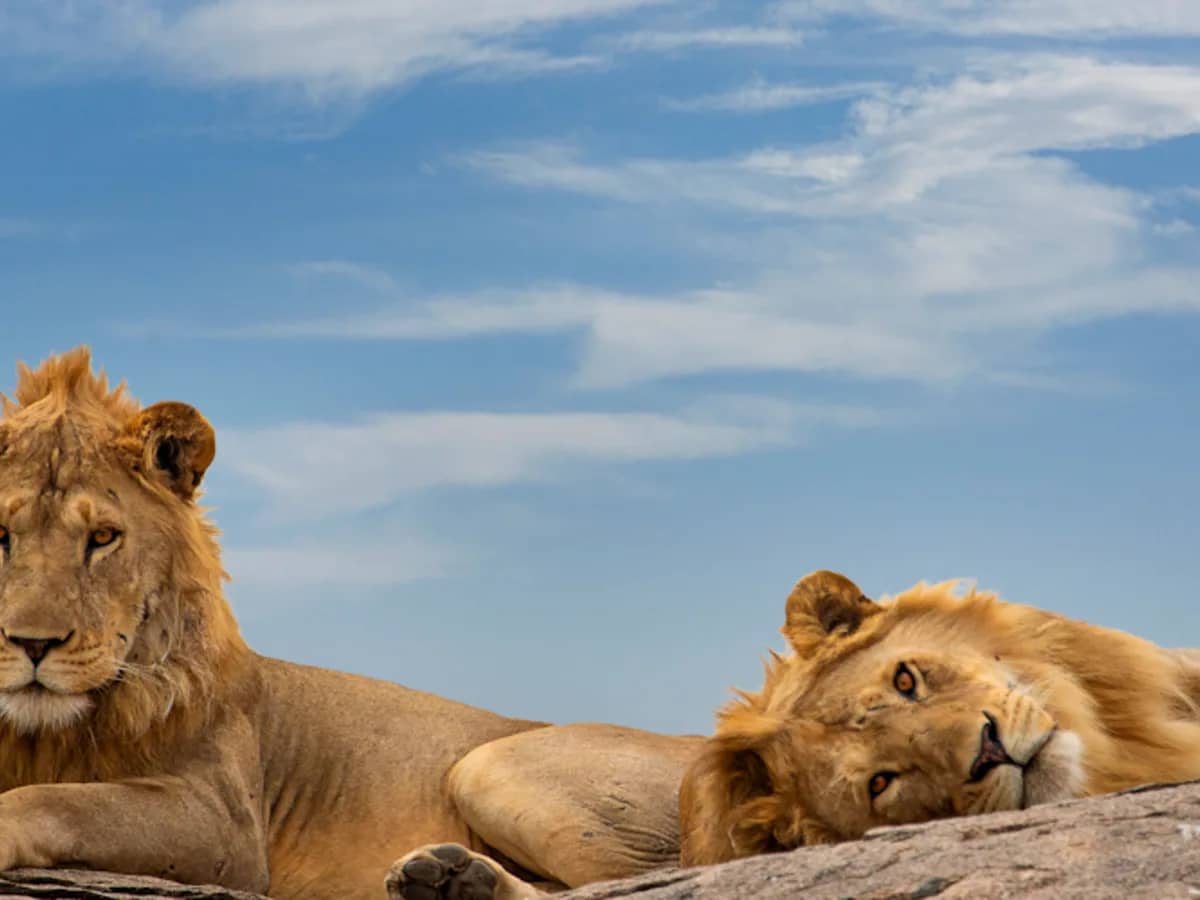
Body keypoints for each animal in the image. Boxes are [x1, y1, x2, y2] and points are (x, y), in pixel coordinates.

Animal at [0, 348, 701, 900]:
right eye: (3, 534)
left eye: (103, 538)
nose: (33, 644)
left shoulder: (225, 821)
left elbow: (59, 799)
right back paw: (446, 877)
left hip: (491, 766)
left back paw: (458, 879)